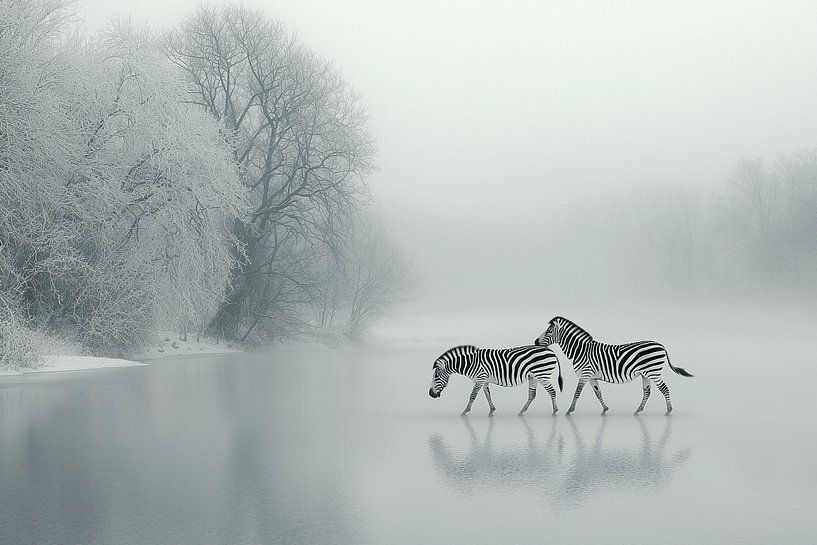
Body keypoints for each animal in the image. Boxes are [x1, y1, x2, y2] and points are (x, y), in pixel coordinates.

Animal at [428, 344, 563, 416]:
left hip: (542, 375)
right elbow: (488, 395)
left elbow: (472, 395)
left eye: (436, 376)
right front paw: (492, 410)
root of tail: (551, 351)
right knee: (532, 395)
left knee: (552, 391)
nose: (430, 394)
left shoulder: (480, 378)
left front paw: (465, 411)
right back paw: (522, 411)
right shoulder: (484, 380)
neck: (470, 363)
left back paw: (555, 411)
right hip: (533, 377)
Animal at [533, 317, 692, 415]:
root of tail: (660, 345)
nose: (535, 341)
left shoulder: (585, 374)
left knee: (664, 389)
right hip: (645, 374)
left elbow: (577, 392)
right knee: (647, 392)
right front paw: (605, 409)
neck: (581, 351)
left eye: (549, 331)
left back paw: (668, 410)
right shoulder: (592, 377)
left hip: (653, 372)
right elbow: (598, 393)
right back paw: (638, 411)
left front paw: (569, 410)